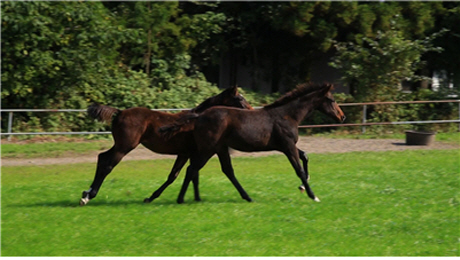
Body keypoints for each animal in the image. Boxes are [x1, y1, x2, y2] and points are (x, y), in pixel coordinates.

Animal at [80, 86, 253, 206]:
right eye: (240, 99)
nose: (252, 110)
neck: (197, 120)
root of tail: (120, 112)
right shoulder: (188, 153)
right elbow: (176, 175)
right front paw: (152, 197)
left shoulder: (189, 153)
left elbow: (190, 175)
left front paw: (196, 198)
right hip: (124, 147)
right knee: (107, 165)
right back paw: (89, 195)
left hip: (120, 145)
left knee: (102, 157)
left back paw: (86, 192)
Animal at [157, 82, 344, 203]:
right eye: (332, 100)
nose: (342, 117)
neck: (287, 115)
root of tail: (199, 116)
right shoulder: (288, 146)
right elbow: (299, 170)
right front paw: (313, 195)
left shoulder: (286, 146)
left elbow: (305, 156)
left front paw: (303, 187)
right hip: (207, 149)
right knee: (191, 169)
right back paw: (180, 199)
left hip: (217, 148)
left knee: (220, 170)